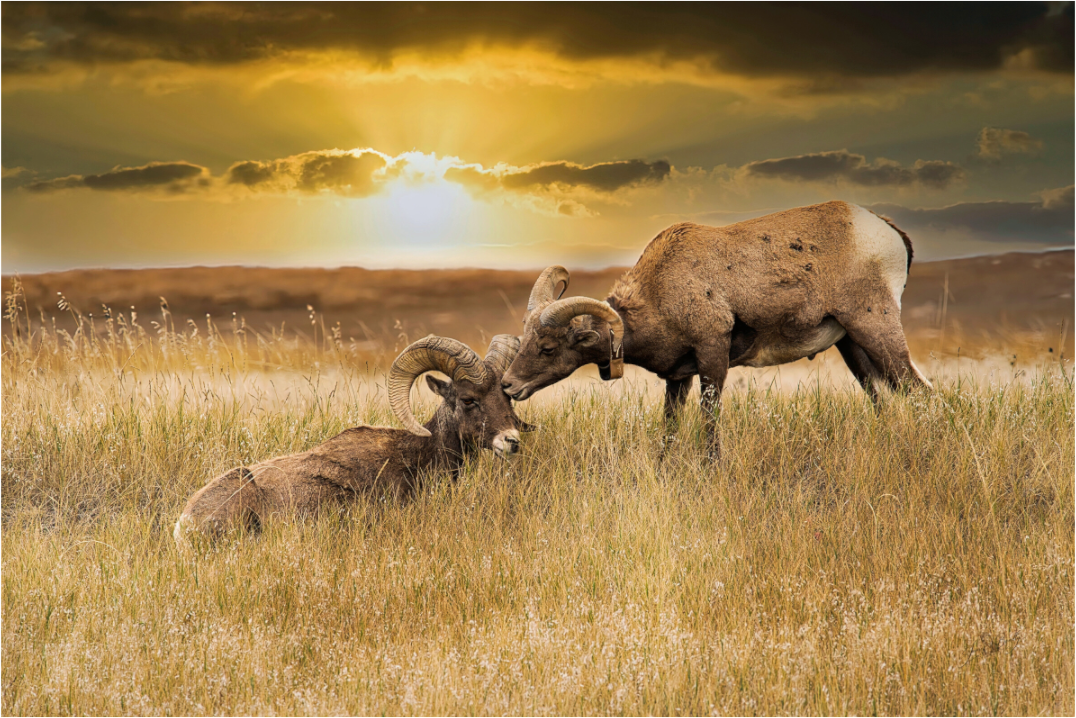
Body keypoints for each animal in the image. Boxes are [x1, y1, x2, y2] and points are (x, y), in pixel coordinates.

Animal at [501, 200, 931, 456]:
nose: (508, 386)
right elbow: (670, 427)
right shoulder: (679, 377)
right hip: (853, 346)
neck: (661, 292)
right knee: (883, 399)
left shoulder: (712, 355)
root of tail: (887, 232)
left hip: (876, 328)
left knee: (919, 392)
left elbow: (709, 422)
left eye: (548, 348)